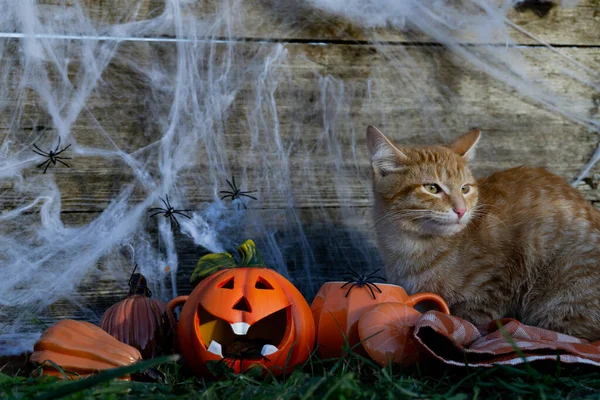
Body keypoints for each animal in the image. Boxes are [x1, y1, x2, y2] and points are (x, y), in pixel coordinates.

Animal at [368, 126, 600, 340]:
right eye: (432, 188)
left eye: (464, 189)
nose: (461, 210)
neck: (411, 246)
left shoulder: (492, 285)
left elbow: (471, 322)